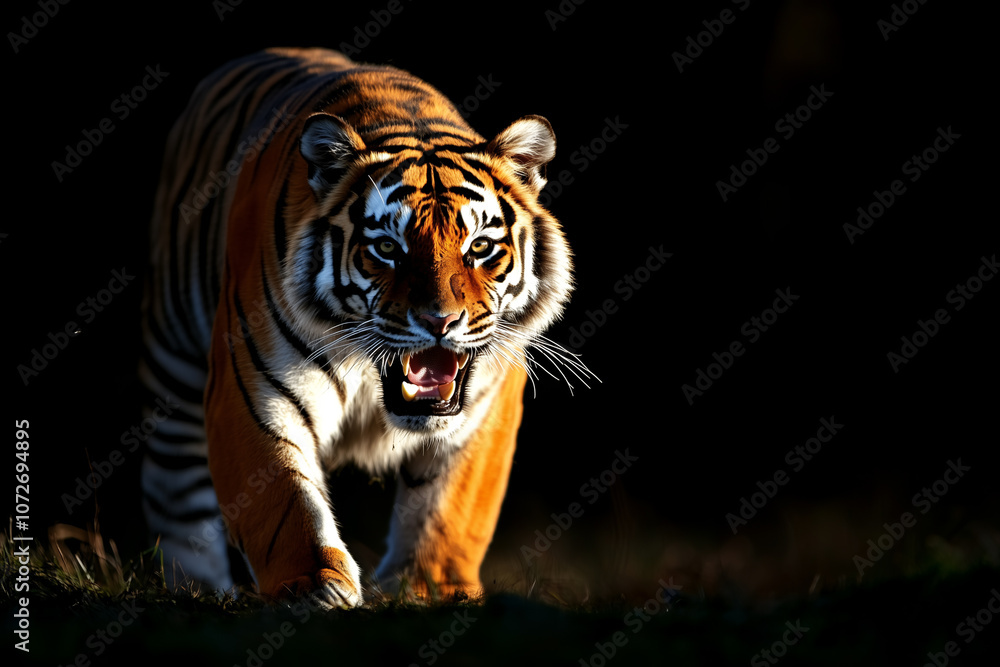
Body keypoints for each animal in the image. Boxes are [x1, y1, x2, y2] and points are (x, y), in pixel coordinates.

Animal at [139, 47, 592, 607]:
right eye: (387, 248)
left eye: (480, 247)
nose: (440, 321)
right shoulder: (251, 389)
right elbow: (284, 500)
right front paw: (312, 584)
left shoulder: (486, 404)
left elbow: (450, 507)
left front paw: (430, 588)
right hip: (174, 366)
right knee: (176, 495)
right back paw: (197, 590)